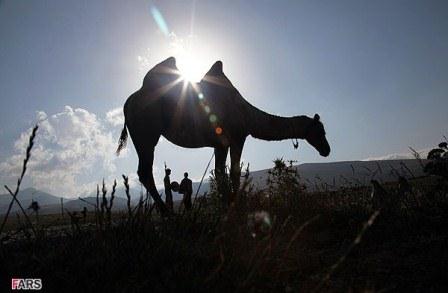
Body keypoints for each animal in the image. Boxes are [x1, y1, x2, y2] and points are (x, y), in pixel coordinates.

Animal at [117, 57, 330, 213]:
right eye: (320, 131)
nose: (326, 150)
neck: (249, 116)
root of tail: (128, 103)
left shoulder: (220, 144)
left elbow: (221, 173)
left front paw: (226, 207)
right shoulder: (236, 138)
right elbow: (232, 172)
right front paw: (235, 208)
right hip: (146, 134)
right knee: (145, 171)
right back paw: (168, 214)